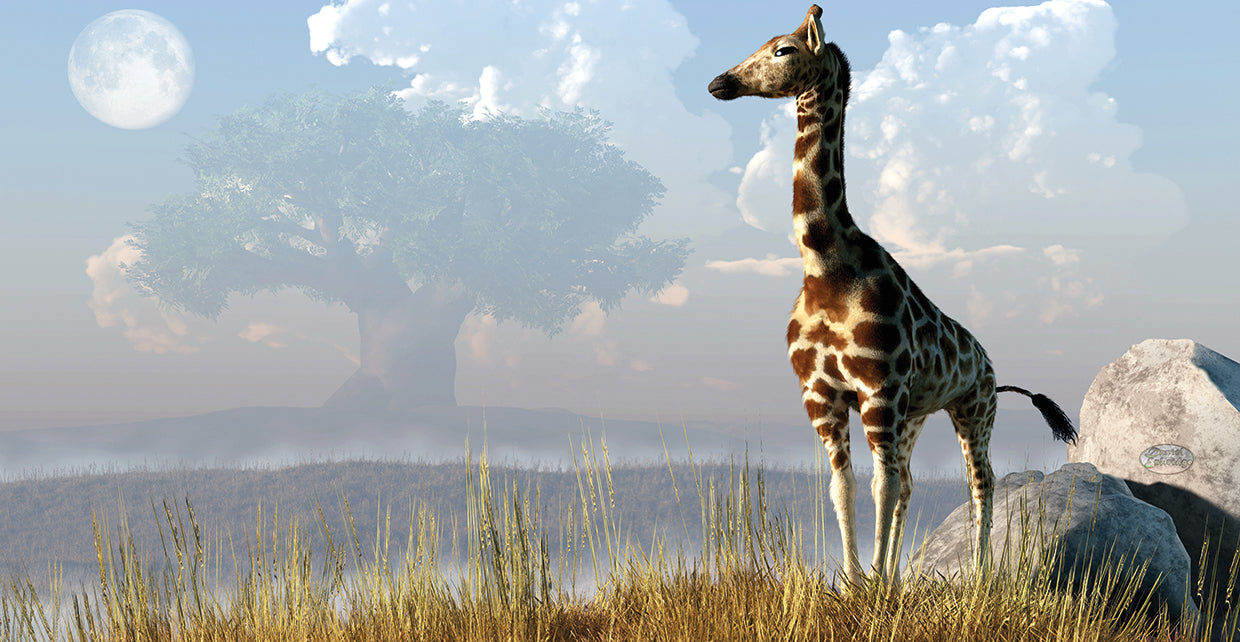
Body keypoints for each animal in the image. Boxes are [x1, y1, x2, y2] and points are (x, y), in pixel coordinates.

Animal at [708, 5, 1077, 589]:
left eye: (784, 50)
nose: (719, 83)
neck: (824, 266)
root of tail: (990, 364)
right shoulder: (822, 395)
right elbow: (847, 486)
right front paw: (858, 582)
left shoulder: (878, 390)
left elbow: (878, 485)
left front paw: (874, 587)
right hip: (917, 414)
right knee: (908, 482)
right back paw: (896, 574)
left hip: (973, 408)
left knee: (981, 482)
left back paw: (978, 577)